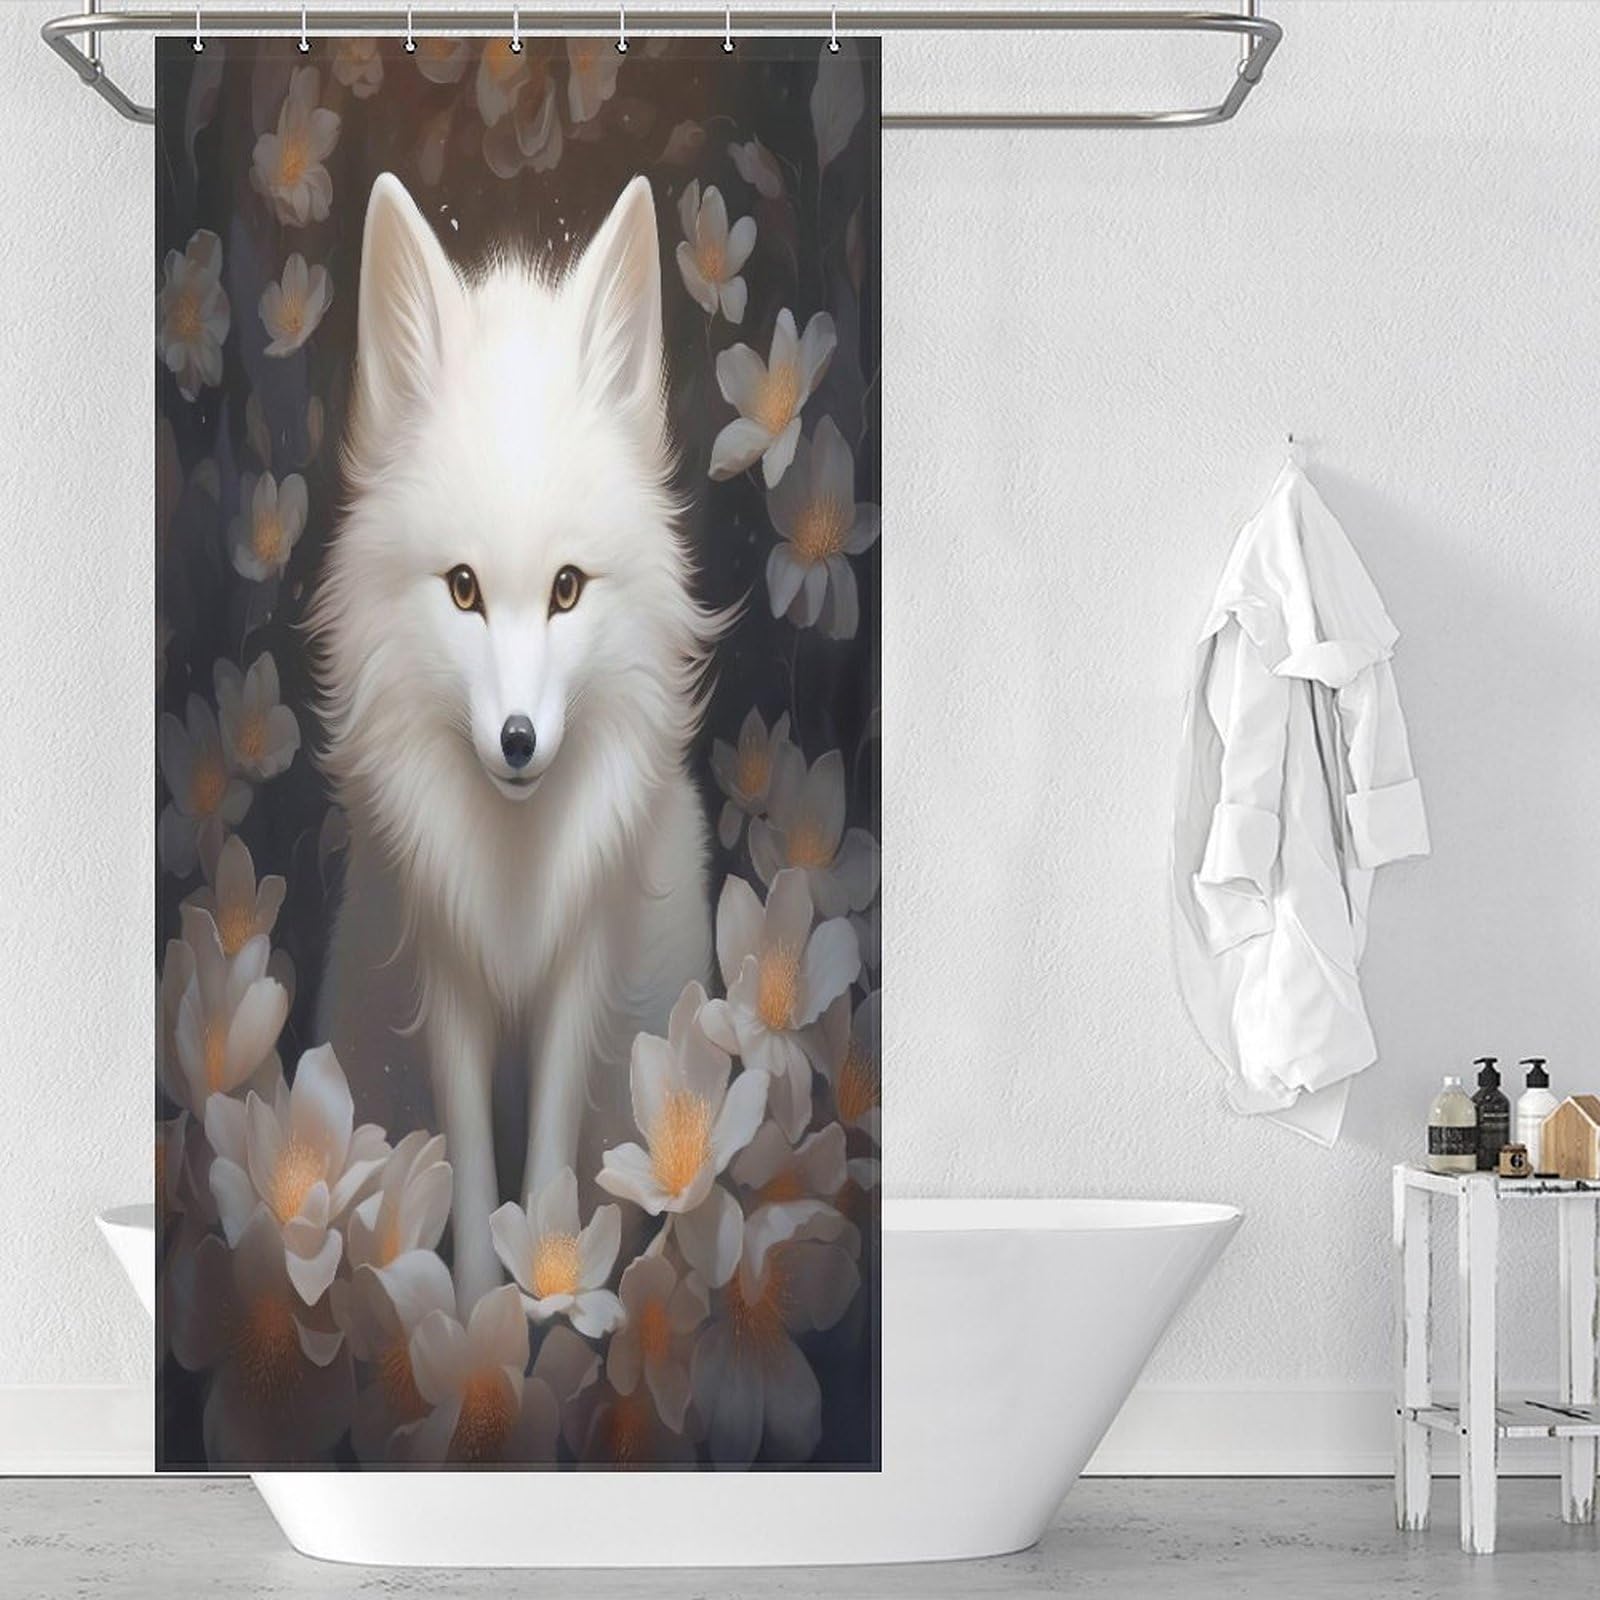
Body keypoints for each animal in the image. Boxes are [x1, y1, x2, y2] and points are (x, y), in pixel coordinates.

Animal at [310, 173, 721, 1310]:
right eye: (462, 589)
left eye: (568, 589)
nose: (519, 741)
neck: (514, 867)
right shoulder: (443, 969)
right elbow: (466, 1161)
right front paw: (468, 1310)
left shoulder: (582, 967)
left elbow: (539, 1167)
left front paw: (547, 1296)